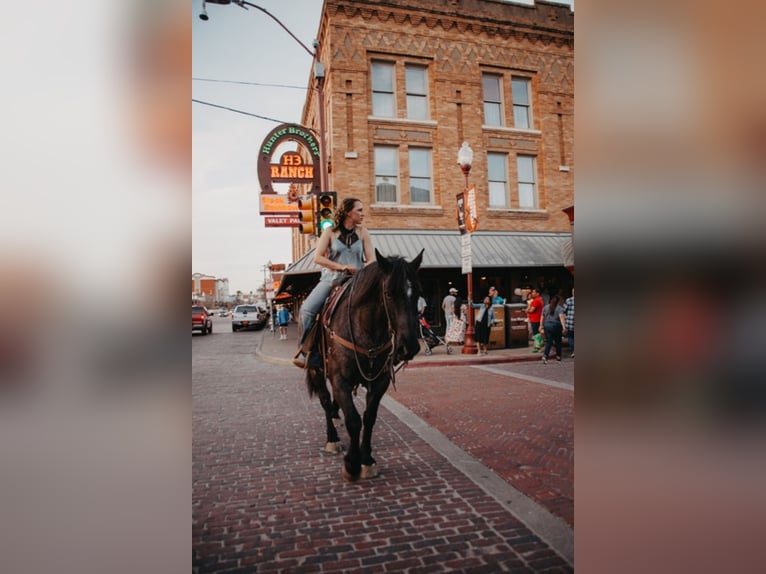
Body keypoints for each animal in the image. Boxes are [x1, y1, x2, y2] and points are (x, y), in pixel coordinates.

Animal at [306, 250, 426, 484]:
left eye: (418, 292)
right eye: (388, 294)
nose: (409, 347)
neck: (367, 331)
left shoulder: (379, 382)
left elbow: (369, 418)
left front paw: (367, 460)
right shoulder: (340, 380)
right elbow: (354, 420)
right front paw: (352, 464)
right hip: (316, 371)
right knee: (324, 400)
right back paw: (332, 439)